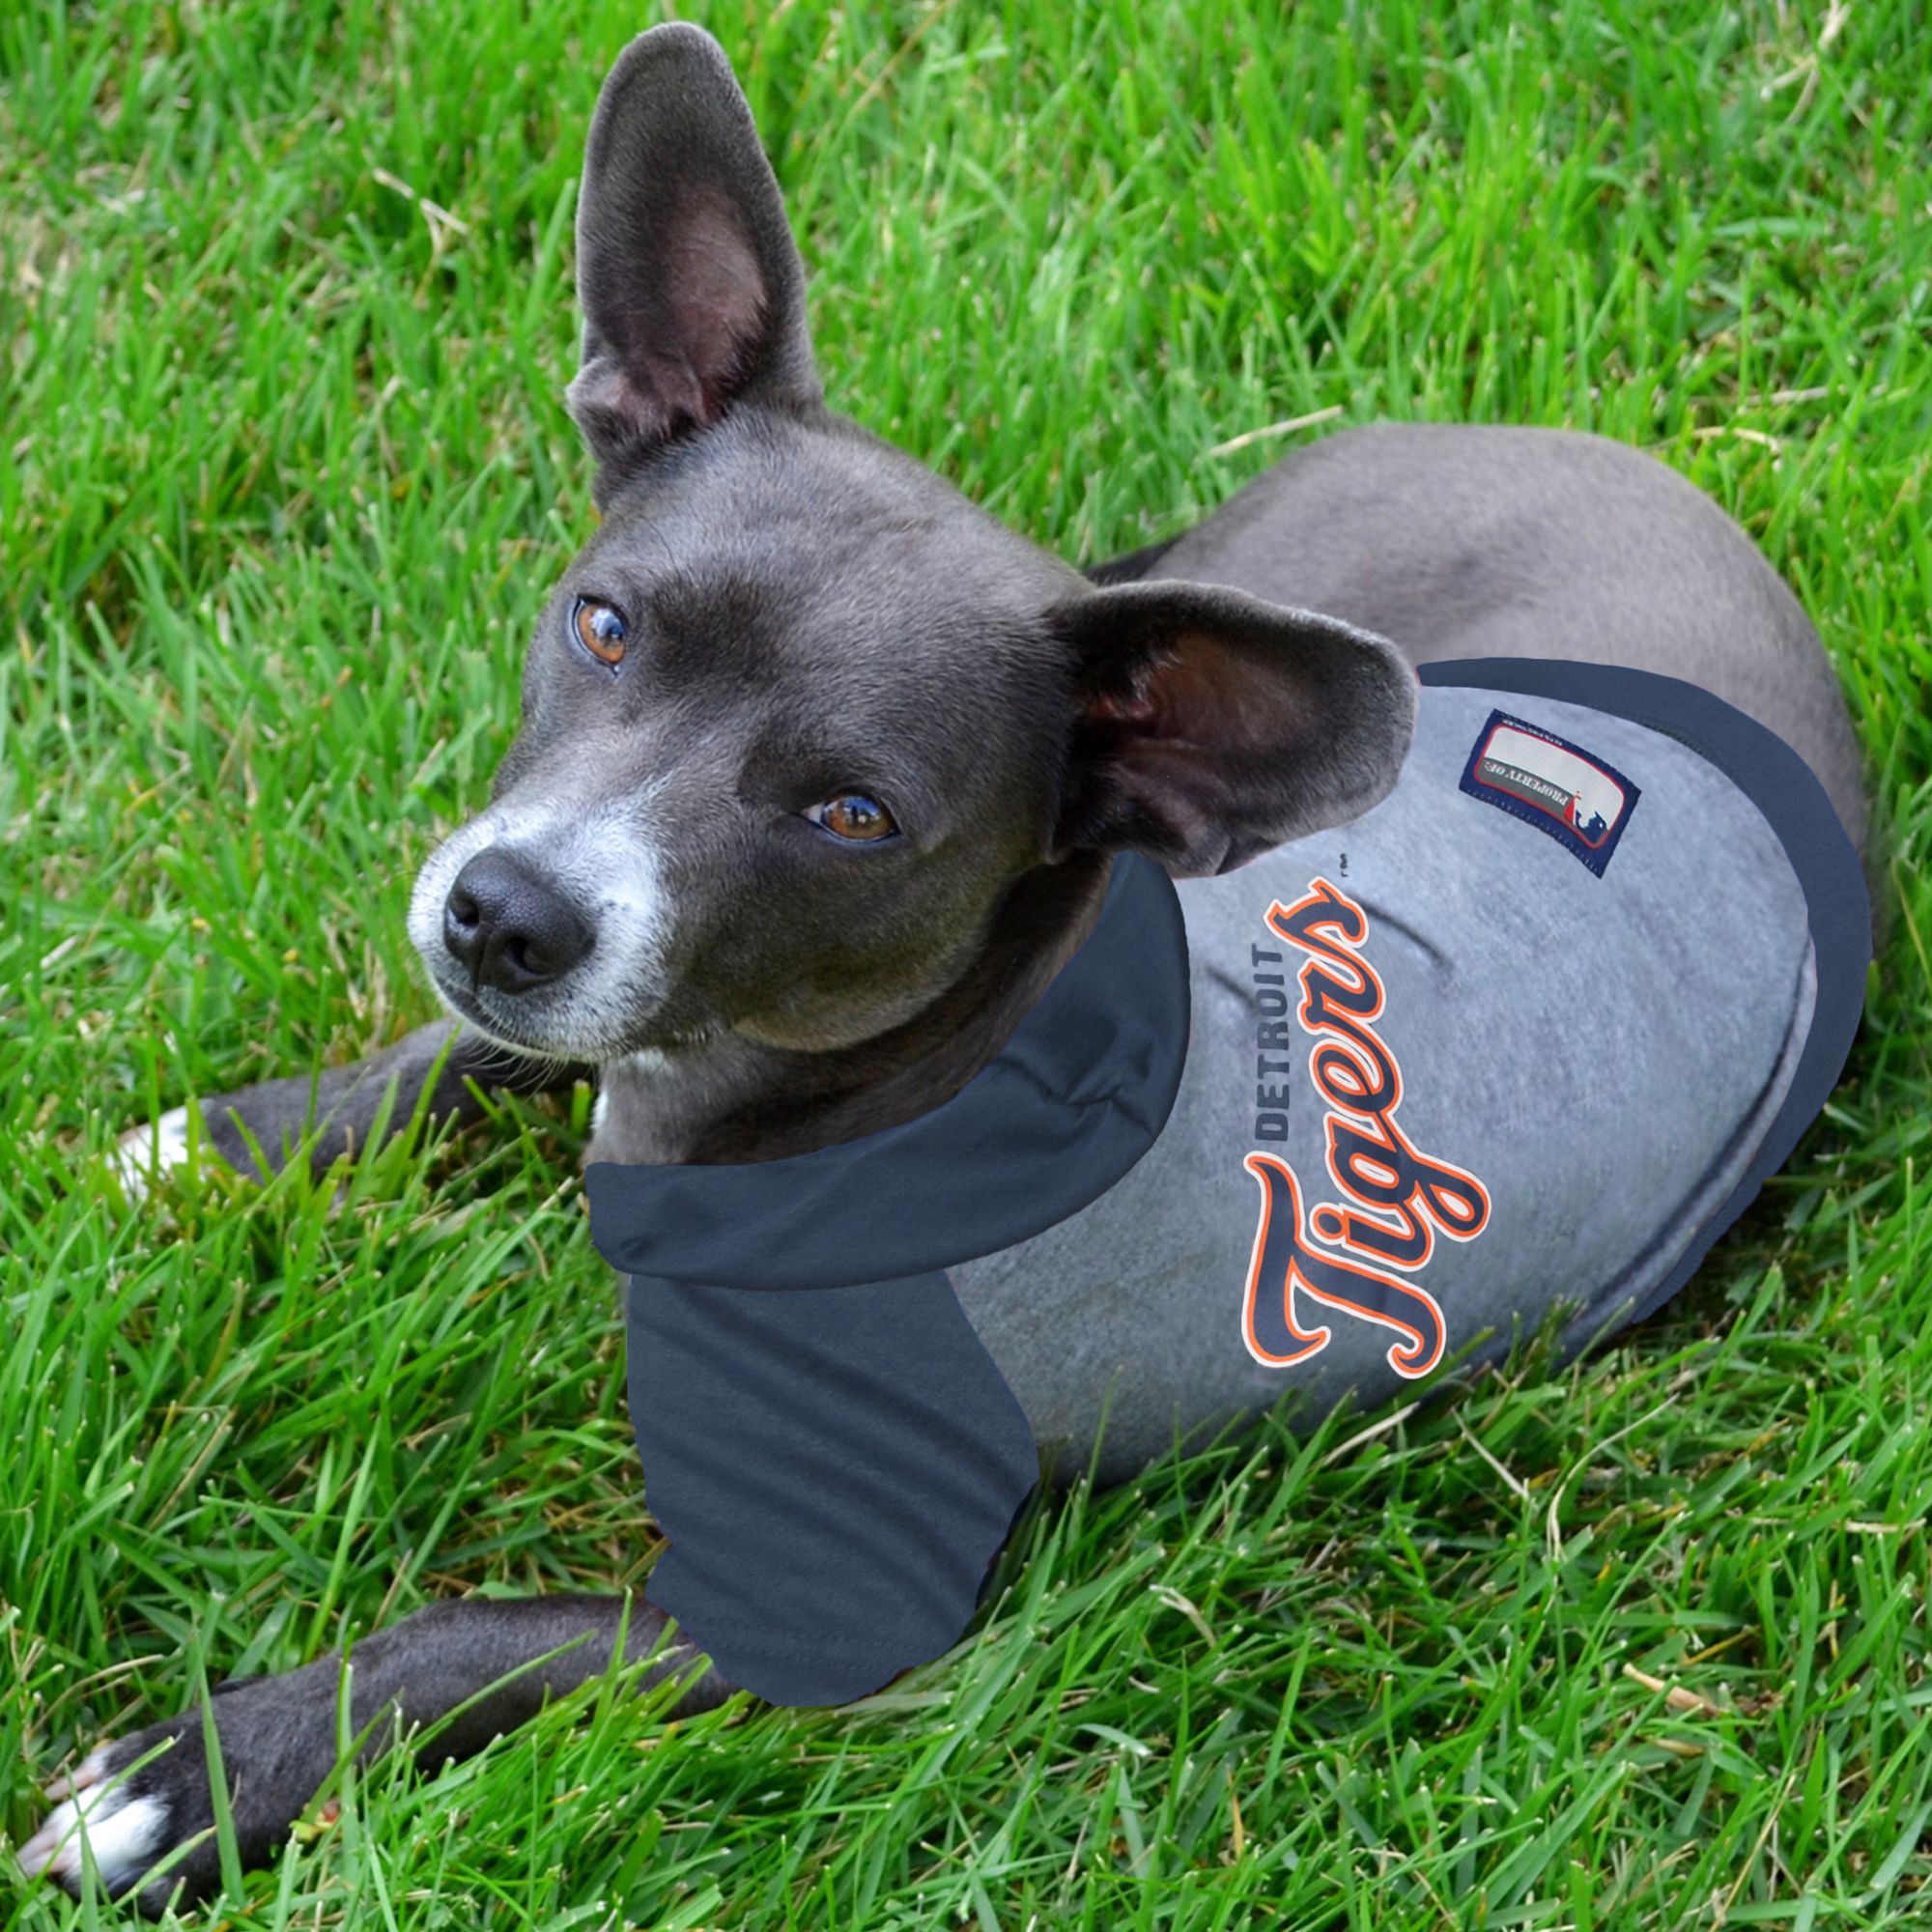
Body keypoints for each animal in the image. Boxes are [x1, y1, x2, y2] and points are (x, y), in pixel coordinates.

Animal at [22, 18, 1870, 1917]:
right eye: (603, 624)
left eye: (854, 815)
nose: (503, 914)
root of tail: (1620, 458)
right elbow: (471, 1050)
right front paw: (234, 1144)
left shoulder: (794, 1618)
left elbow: (473, 1639)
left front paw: (191, 1779)